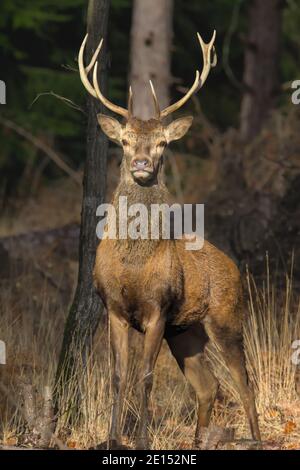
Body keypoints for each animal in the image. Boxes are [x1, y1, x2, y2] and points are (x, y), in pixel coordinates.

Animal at [78, 31, 262, 450]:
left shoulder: (158, 309)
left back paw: (258, 439)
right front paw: (113, 439)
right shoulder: (114, 309)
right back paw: (199, 441)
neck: (133, 264)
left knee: (244, 384)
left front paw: (143, 441)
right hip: (187, 331)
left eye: (162, 143)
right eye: (125, 140)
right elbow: (117, 377)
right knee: (208, 386)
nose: (141, 164)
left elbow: (145, 377)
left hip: (226, 316)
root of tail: (232, 264)